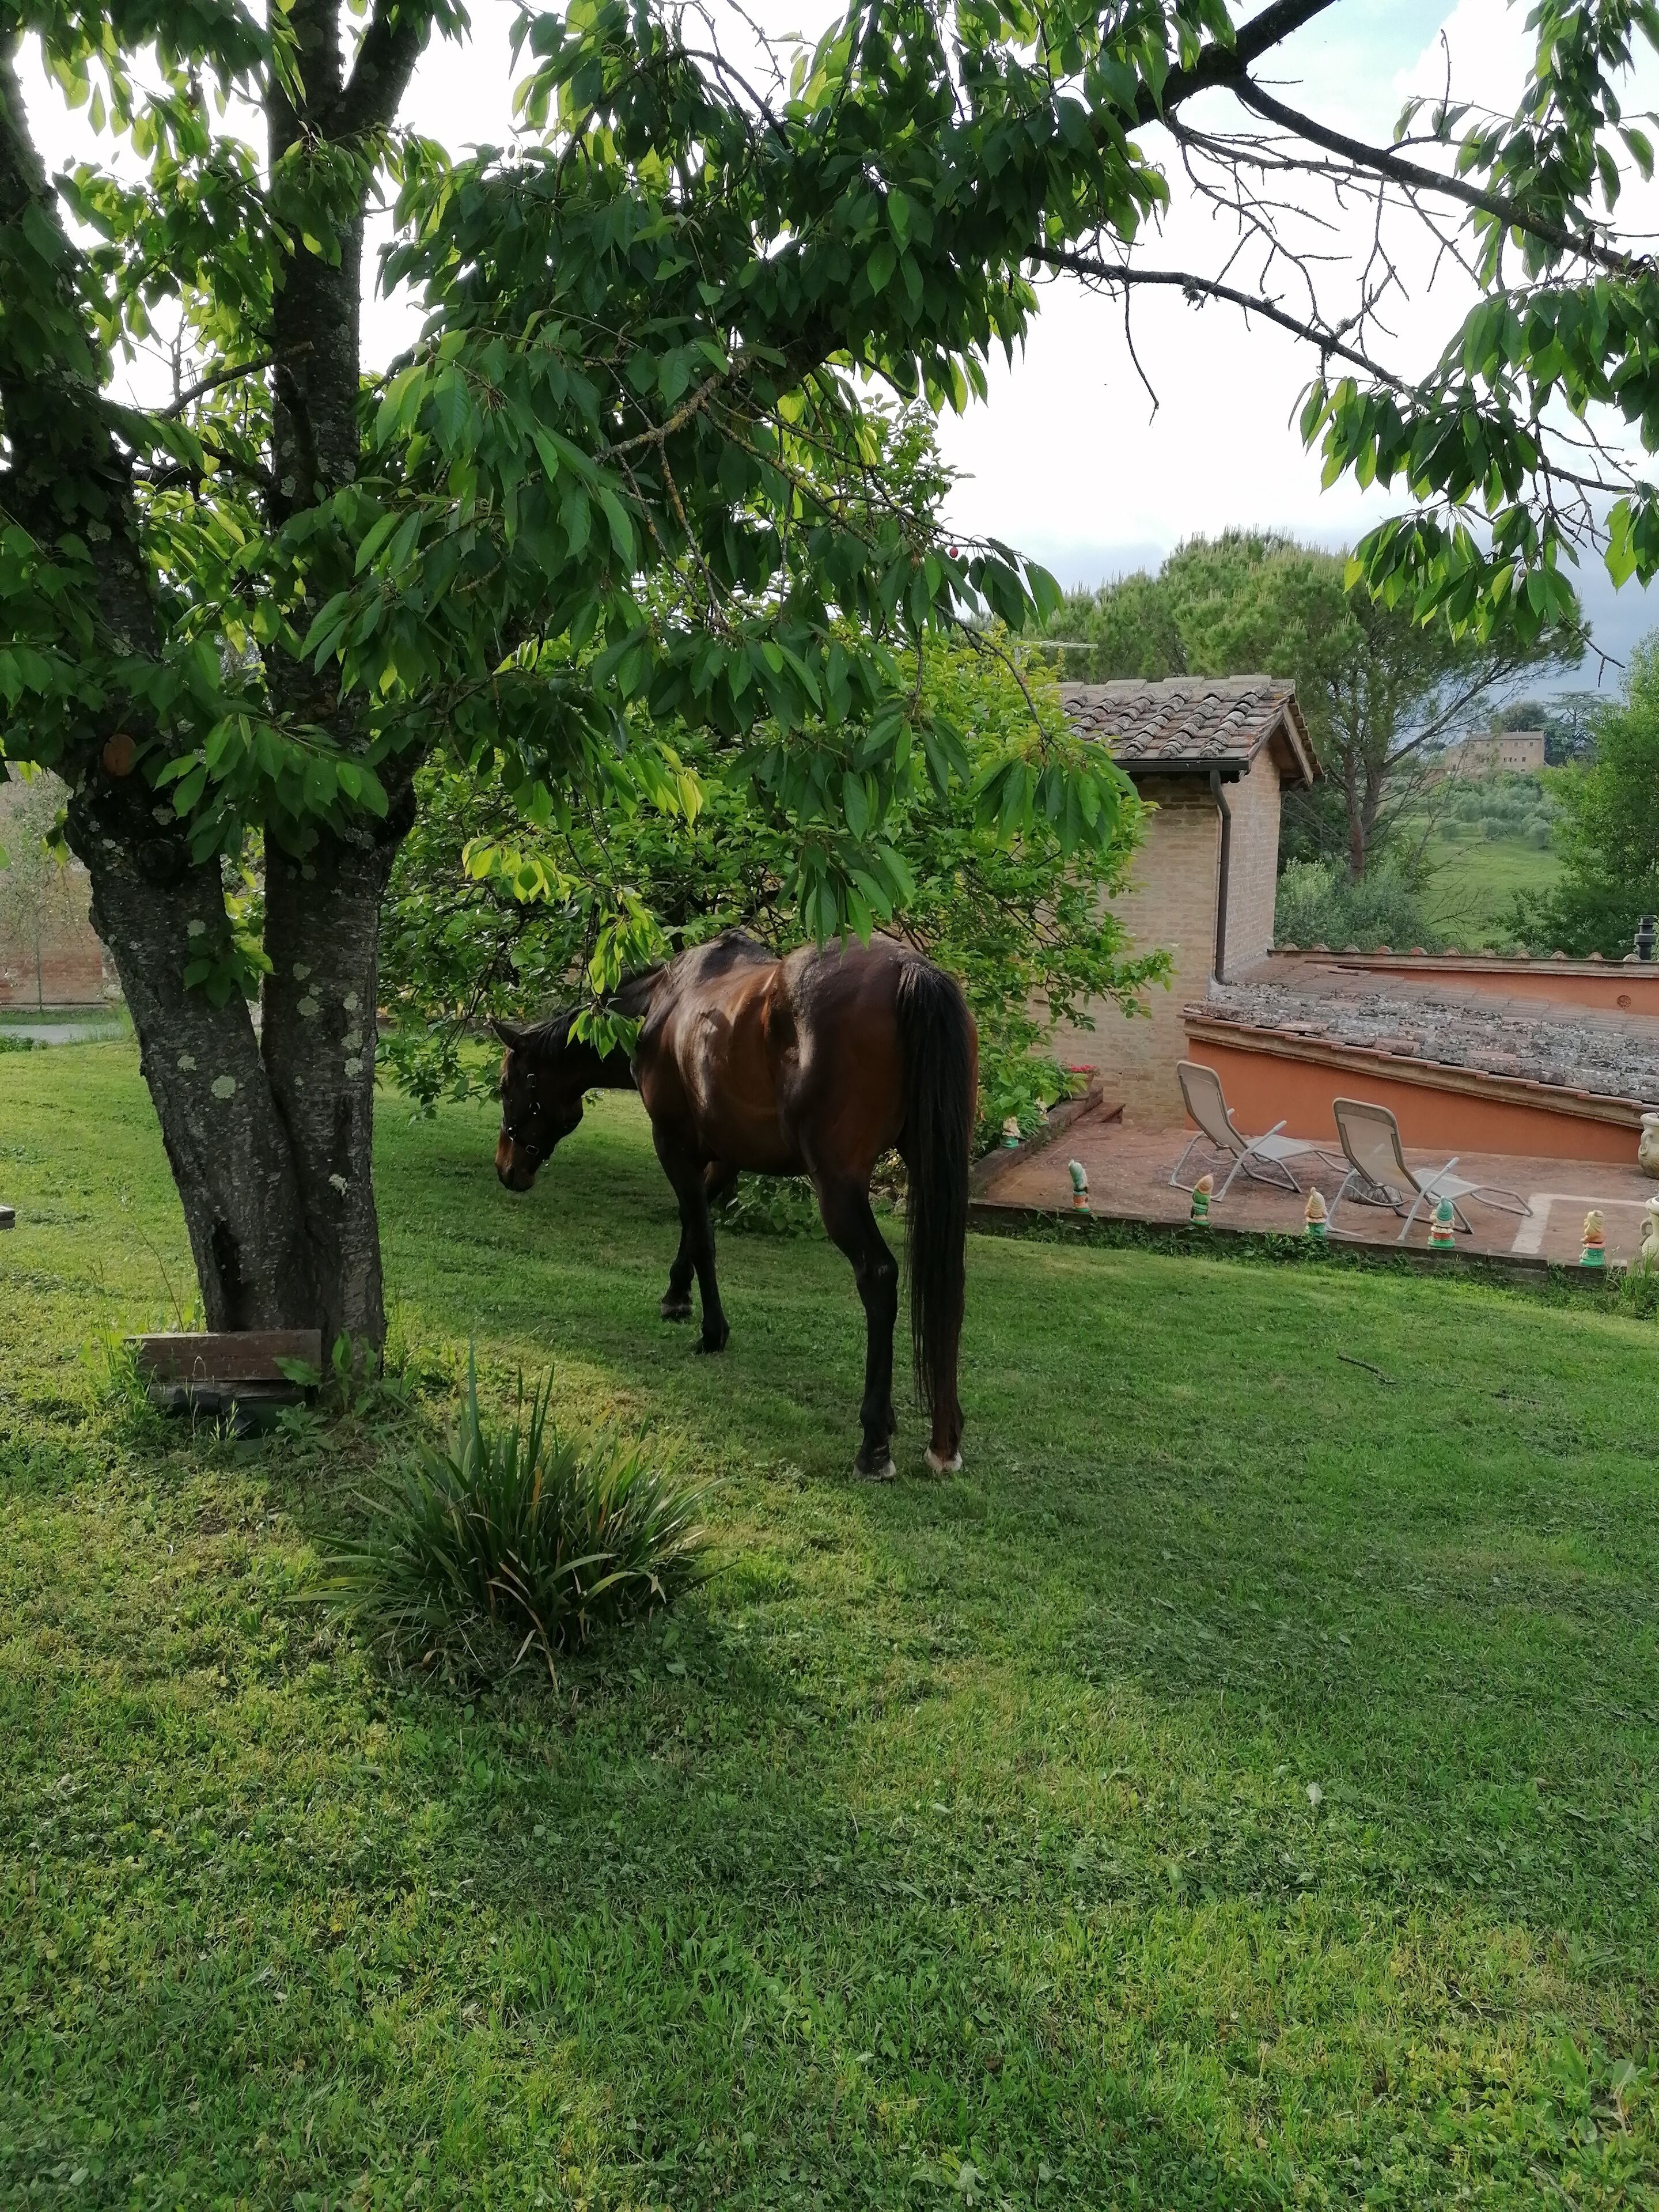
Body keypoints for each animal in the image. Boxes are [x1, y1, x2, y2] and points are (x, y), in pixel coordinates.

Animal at [491, 931, 977, 1476]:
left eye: (507, 1087)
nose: (507, 1169)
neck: (660, 1005)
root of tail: (910, 969)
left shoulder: (673, 1144)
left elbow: (701, 1235)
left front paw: (711, 1332)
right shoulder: (726, 1157)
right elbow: (693, 1224)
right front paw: (676, 1296)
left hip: (838, 1185)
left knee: (878, 1275)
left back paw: (874, 1444)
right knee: (948, 1279)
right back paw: (944, 1439)